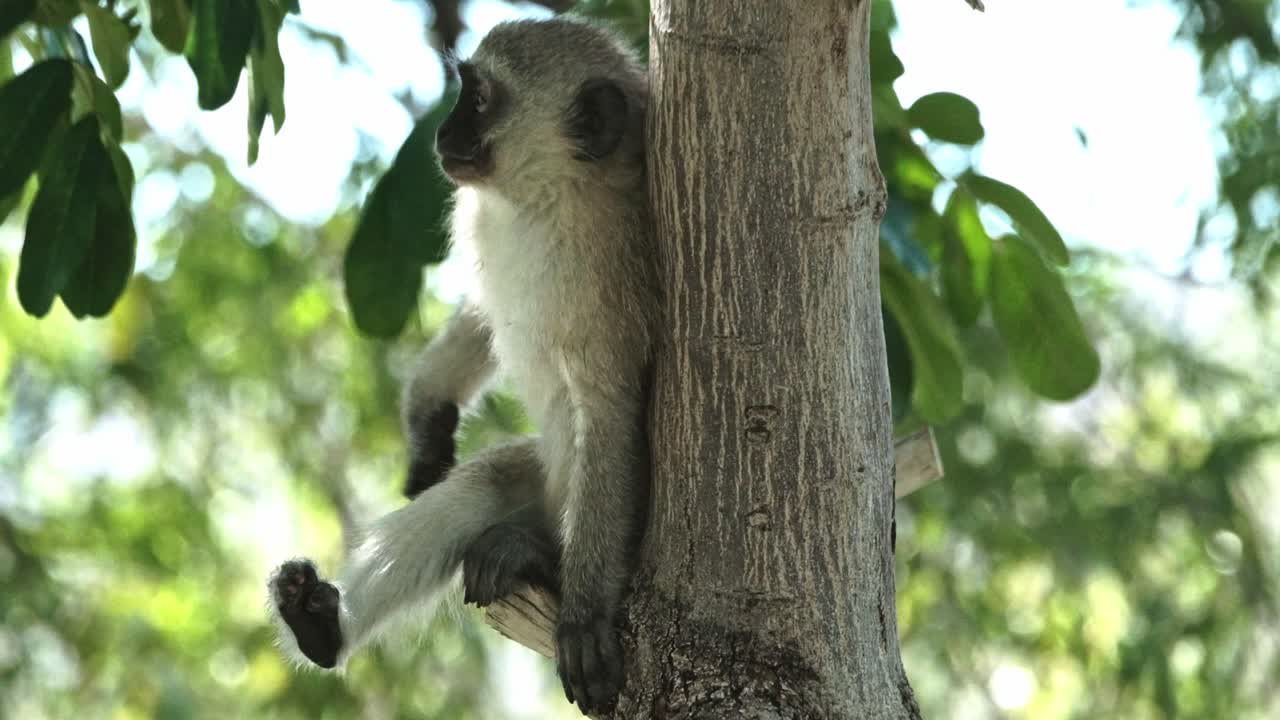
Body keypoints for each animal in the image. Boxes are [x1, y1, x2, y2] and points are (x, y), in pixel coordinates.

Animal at [268, 16, 655, 715]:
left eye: (477, 99)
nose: (442, 132)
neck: (545, 200)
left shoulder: (607, 280)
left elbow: (611, 413)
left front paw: (586, 615)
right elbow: (480, 312)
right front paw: (428, 415)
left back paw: (543, 565)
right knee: (478, 486)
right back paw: (320, 625)